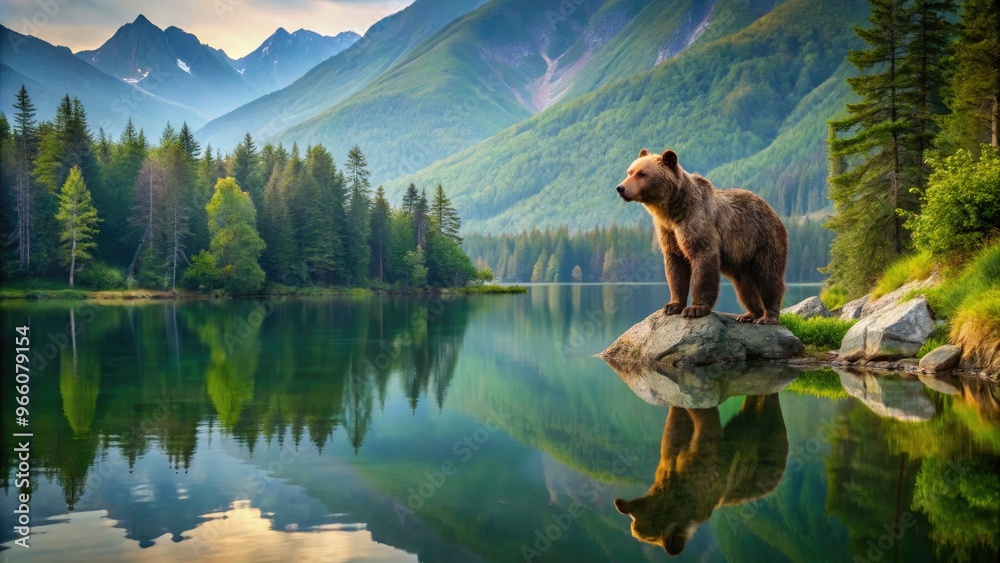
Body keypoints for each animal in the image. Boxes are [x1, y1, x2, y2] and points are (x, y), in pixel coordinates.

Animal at [614, 394, 788, 555]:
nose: (620, 502)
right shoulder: (673, 457)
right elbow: (677, 423)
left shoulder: (708, 473)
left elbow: (704, 424)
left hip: (768, 452)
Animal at [616, 148, 788, 324]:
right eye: (630, 172)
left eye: (642, 173)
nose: (620, 188)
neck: (673, 210)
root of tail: (772, 210)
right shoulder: (668, 232)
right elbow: (675, 267)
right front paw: (672, 305)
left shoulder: (695, 221)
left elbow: (703, 257)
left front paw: (695, 308)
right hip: (741, 257)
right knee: (744, 286)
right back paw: (750, 314)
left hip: (763, 240)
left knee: (768, 277)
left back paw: (768, 316)